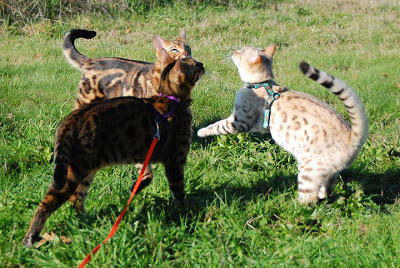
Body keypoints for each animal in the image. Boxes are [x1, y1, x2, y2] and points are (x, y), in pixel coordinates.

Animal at [22, 48, 205, 247]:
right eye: (195, 64)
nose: (203, 64)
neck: (170, 99)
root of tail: (70, 120)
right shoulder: (175, 160)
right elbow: (178, 192)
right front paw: (187, 215)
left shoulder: (142, 154)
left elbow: (145, 176)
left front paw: (135, 188)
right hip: (72, 174)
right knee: (46, 204)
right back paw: (30, 239)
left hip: (85, 171)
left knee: (76, 198)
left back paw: (86, 223)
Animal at [197, 44, 368, 203]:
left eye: (240, 53)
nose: (234, 52)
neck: (262, 83)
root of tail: (352, 137)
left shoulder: (240, 121)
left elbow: (217, 125)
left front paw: (201, 131)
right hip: (329, 172)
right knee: (327, 189)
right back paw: (321, 195)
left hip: (308, 169)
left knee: (309, 199)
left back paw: (294, 205)